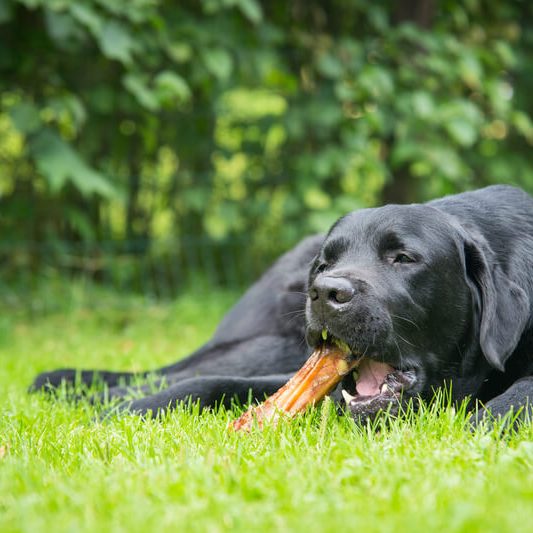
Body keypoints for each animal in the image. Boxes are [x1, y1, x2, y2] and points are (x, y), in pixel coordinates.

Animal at [32, 185, 532, 426]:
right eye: (326, 263)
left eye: (404, 258)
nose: (326, 292)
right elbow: (211, 383)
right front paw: (127, 411)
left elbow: (519, 395)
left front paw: (481, 427)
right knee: (184, 369)